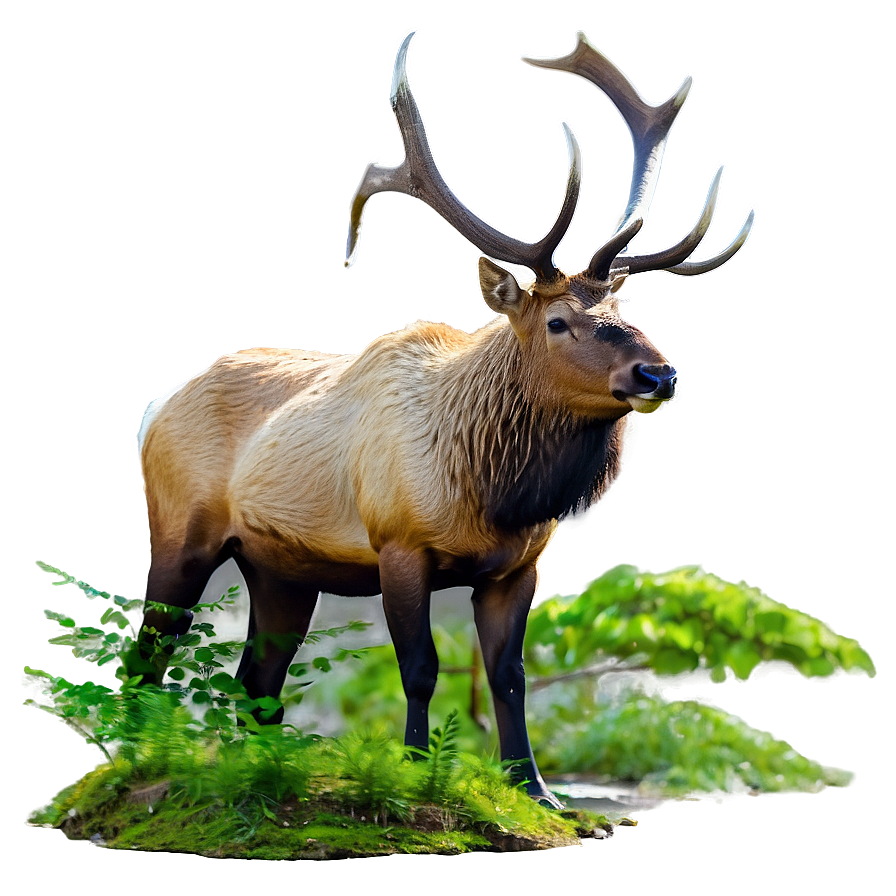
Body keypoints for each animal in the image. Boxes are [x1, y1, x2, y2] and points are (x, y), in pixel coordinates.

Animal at [126, 30, 755, 807]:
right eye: (558, 321)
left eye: (622, 311)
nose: (657, 374)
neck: (491, 490)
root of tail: (154, 407)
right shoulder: (399, 543)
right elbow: (421, 667)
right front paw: (415, 772)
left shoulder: (519, 567)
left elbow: (510, 677)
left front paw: (535, 786)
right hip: (180, 530)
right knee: (146, 652)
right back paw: (131, 757)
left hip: (281, 569)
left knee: (257, 682)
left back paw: (261, 773)